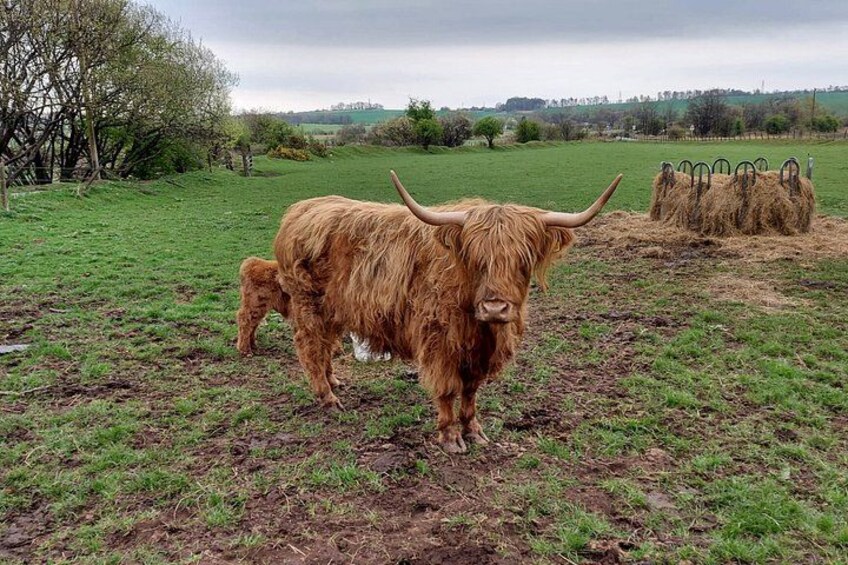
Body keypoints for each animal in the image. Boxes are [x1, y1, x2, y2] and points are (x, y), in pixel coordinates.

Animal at [273, 171, 622, 452]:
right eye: (476, 258)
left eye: (523, 260)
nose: (495, 307)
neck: (481, 328)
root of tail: (300, 209)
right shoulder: (439, 345)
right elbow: (447, 389)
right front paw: (451, 436)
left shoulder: (476, 355)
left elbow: (470, 393)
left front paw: (474, 432)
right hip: (309, 305)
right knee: (309, 348)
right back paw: (328, 398)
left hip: (333, 311)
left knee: (325, 348)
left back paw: (334, 382)